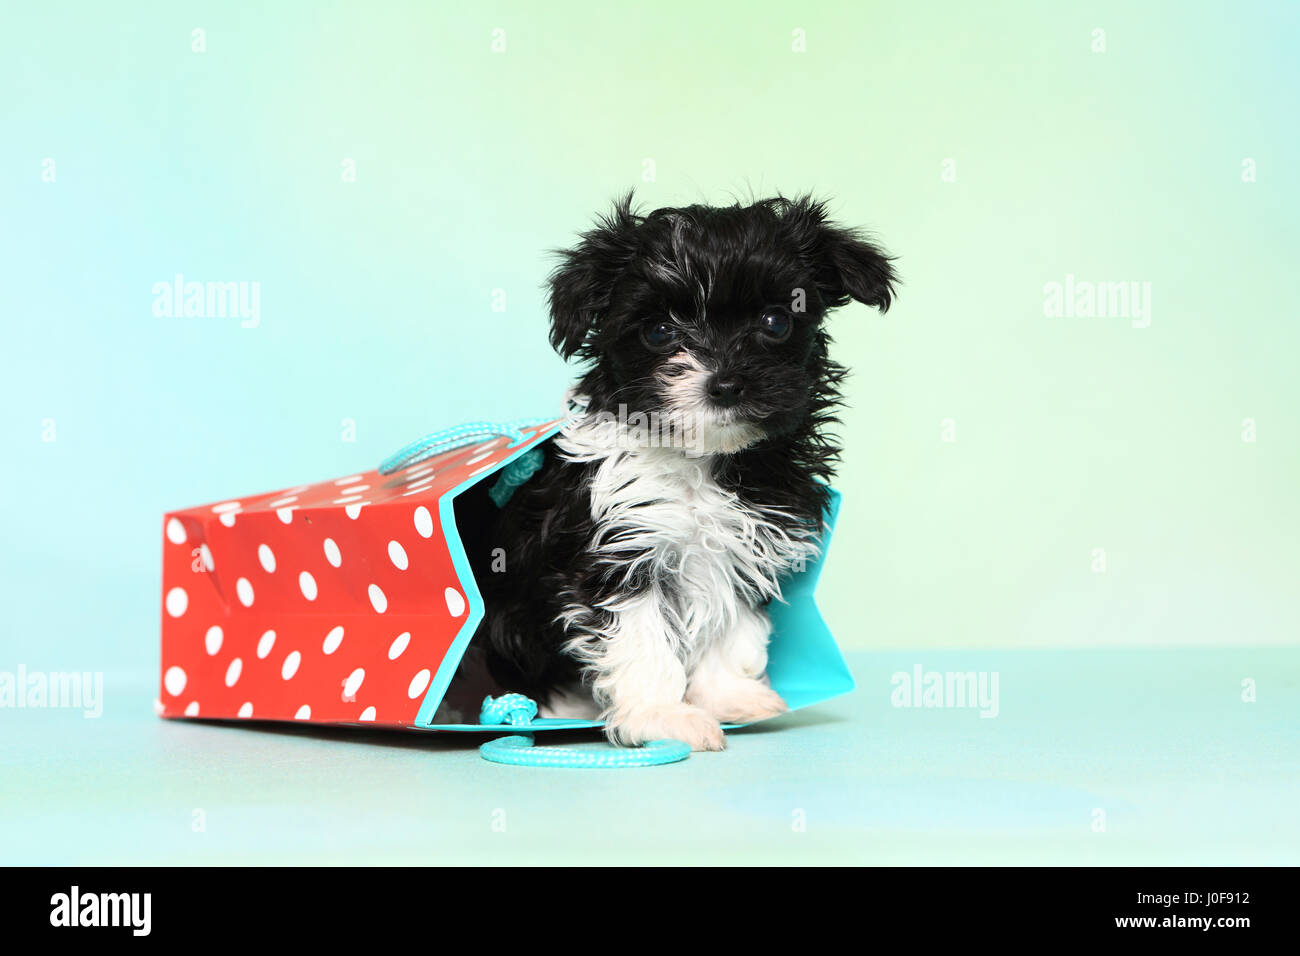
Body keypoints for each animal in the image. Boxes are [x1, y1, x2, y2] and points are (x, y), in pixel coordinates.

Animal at [475, 192, 894, 749]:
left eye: (775, 322)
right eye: (658, 331)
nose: (726, 383)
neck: (702, 460)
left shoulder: (746, 543)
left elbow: (731, 625)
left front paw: (727, 696)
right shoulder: (619, 549)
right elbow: (641, 635)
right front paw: (661, 714)